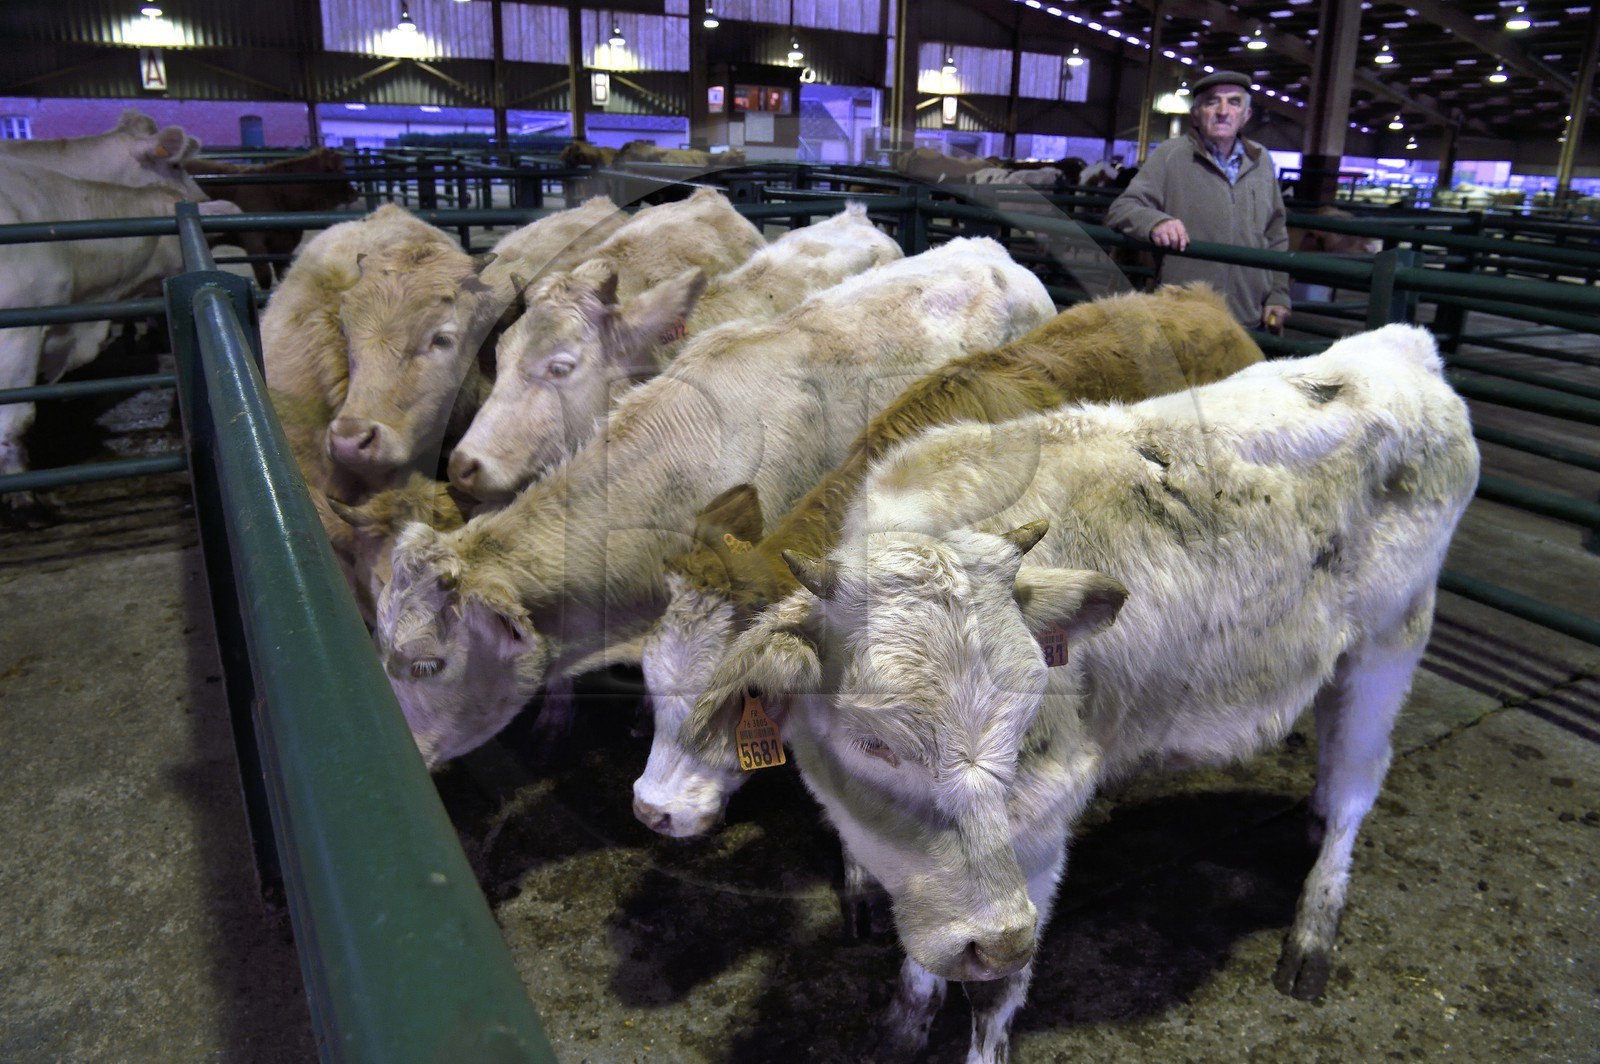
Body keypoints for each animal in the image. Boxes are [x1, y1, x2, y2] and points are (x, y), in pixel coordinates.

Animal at [184, 148, 360, 288]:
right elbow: (264, 276)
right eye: (339, 171)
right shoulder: (253, 242)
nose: (355, 192)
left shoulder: (283, 245)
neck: (276, 193)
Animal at [679, 323, 1479, 1063]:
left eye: (1025, 721)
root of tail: (1398, 346)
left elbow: (995, 990)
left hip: (1390, 642)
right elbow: (925, 945)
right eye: (872, 742)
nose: (999, 939)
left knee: (1356, 781)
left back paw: (1313, 931)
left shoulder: (1044, 816)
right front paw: (904, 1028)